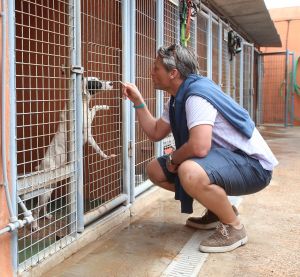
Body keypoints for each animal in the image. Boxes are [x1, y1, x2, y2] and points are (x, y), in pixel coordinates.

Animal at [31, 76, 116, 230]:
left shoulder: (89, 137)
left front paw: (107, 156)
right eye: (96, 83)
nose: (111, 83)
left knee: (43, 206)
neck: (80, 101)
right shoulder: (86, 133)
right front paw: (102, 106)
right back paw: (34, 226)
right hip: (46, 190)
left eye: (99, 79)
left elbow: (100, 150)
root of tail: (40, 166)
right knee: (35, 209)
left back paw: (46, 216)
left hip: (51, 188)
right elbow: (93, 109)